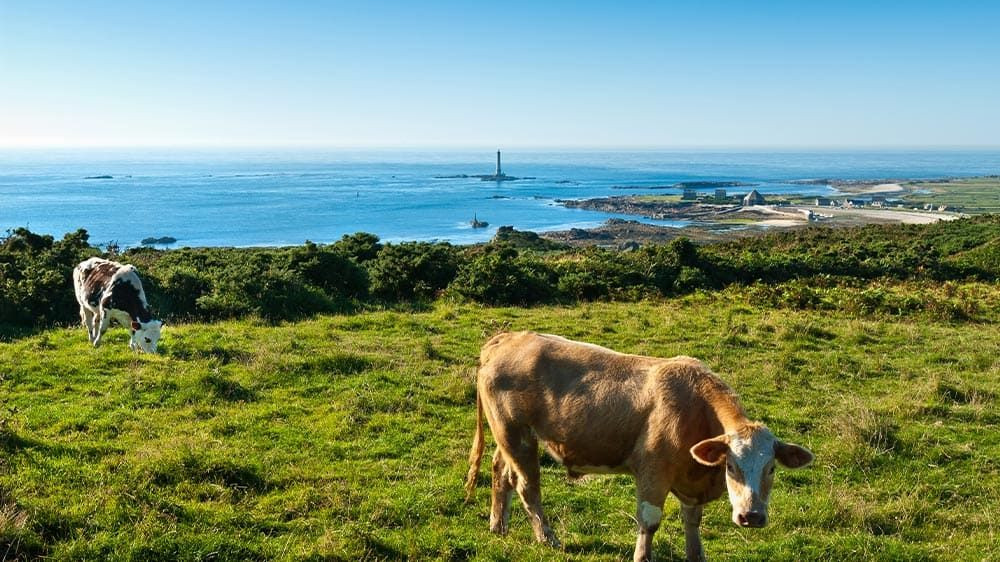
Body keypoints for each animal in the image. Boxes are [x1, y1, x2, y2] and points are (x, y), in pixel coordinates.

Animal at [464, 332, 813, 562]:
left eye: (772, 468)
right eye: (731, 465)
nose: (751, 516)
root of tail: (508, 338)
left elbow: (692, 520)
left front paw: (696, 555)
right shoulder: (653, 472)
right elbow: (650, 519)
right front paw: (642, 556)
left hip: (508, 436)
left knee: (501, 472)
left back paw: (498, 525)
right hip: (517, 435)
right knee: (527, 485)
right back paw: (547, 538)